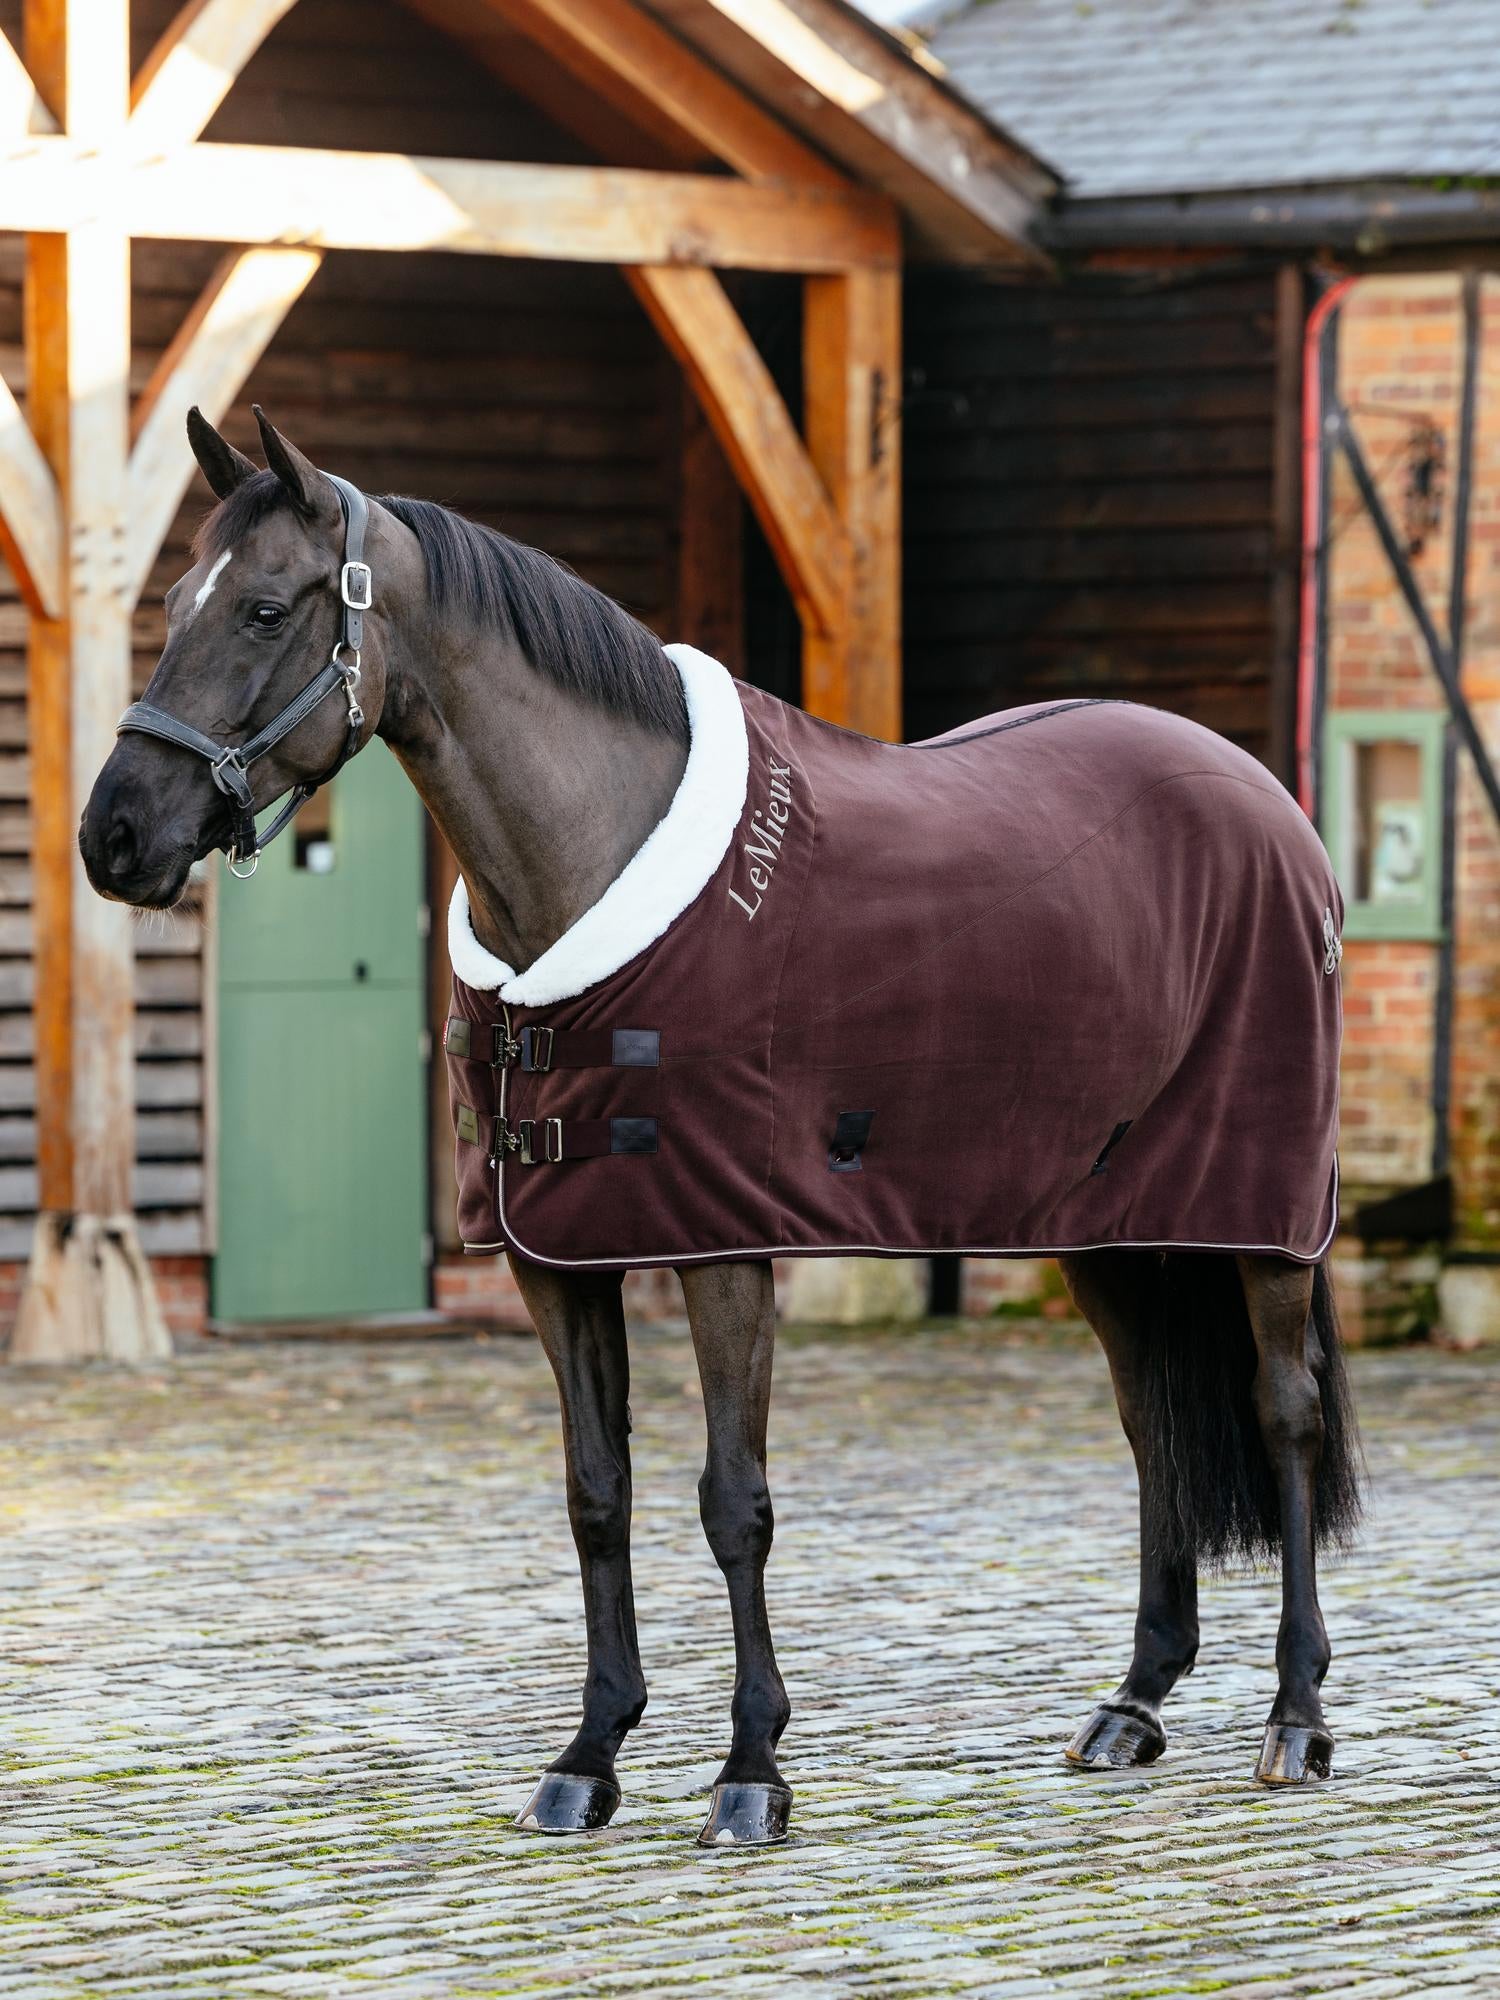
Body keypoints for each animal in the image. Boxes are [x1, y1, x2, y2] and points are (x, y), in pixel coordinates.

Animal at [81, 407, 1362, 1848]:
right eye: (170, 604)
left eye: (259, 608)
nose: (113, 834)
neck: (592, 868)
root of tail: (1271, 806)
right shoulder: (556, 1259)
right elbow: (597, 1493)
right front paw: (589, 1755)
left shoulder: (722, 1245)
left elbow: (731, 1501)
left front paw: (752, 1770)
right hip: (1110, 1220)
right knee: (1153, 1425)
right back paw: (1133, 1702)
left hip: (1263, 1213)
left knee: (1283, 1412)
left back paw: (1296, 1717)